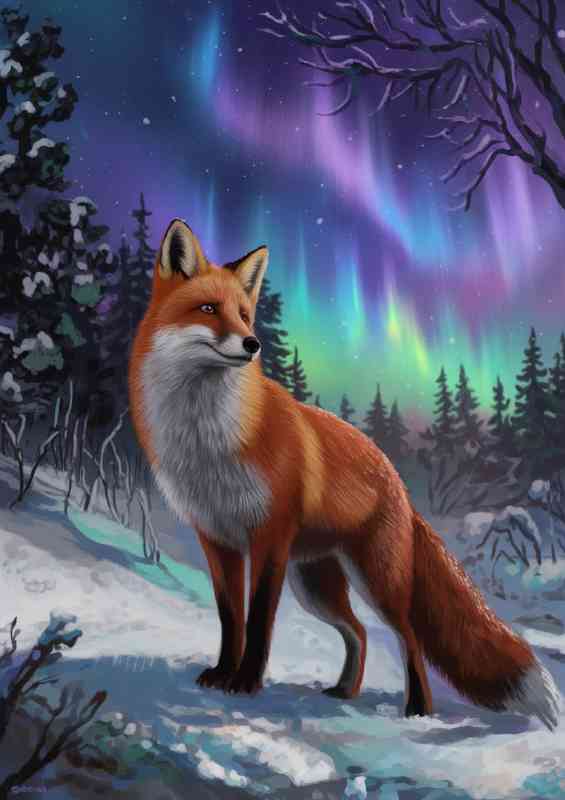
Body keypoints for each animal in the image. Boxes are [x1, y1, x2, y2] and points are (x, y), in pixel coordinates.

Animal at [128, 218, 561, 729]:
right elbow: (230, 619)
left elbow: (258, 623)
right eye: (210, 309)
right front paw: (222, 674)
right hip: (316, 586)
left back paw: (418, 709)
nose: (253, 344)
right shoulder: (217, 540)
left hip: (375, 581)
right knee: (359, 633)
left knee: (408, 638)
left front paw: (246, 683)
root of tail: (399, 483)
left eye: (245, 315)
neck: (208, 440)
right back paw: (345, 690)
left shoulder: (269, 539)